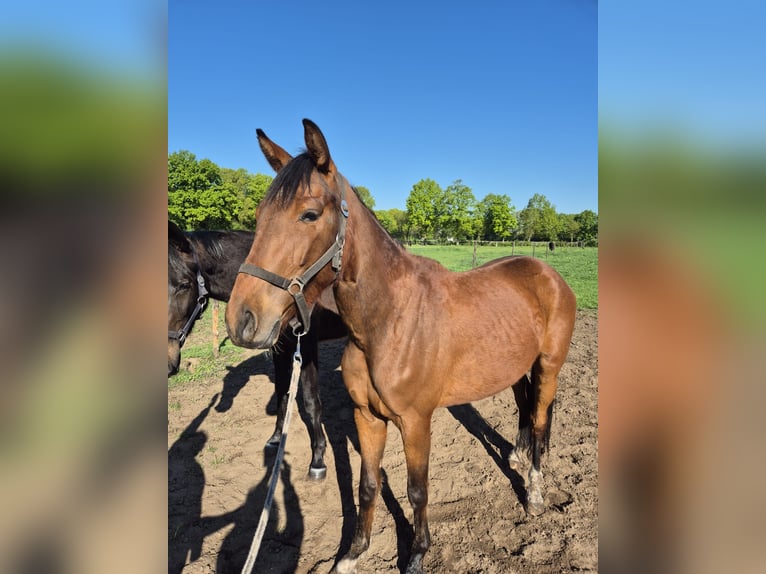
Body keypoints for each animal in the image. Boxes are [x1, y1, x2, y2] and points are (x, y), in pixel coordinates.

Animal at [168, 221, 346, 479]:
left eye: (184, 284)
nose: (168, 362)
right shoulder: (282, 349)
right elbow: (282, 393)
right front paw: (275, 438)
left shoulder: (306, 347)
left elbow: (311, 403)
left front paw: (318, 460)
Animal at [225, 119, 577, 573]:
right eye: (258, 216)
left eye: (309, 214)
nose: (242, 319)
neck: (388, 323)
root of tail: (547, 273)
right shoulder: (367, 417)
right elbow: (368, 485)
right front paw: (352, 553)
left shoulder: (415, 421)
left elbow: (416, 490)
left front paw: (417, 554)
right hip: (516, 365)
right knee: (524, 406)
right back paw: (515, 456)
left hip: (548, 366)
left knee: (538, 418)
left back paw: (533, 491)